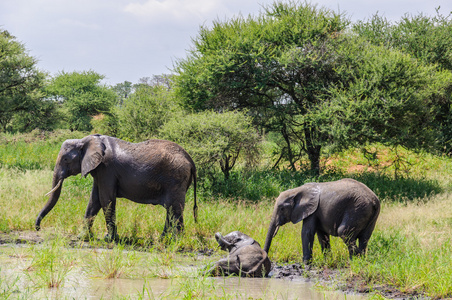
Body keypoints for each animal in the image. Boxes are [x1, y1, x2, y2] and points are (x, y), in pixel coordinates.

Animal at [35, 134, 198, 241]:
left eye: (66, 159)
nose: (38, 228)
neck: (85, 140)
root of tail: (190, 160)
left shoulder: (106, 169)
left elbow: (105, 199)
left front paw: (109, 238)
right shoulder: (99, 171)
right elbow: (94, 201)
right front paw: (83, 237)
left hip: (175, 178)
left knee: (174, 209)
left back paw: (176, 241)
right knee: (170, 210)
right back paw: (164, 239)